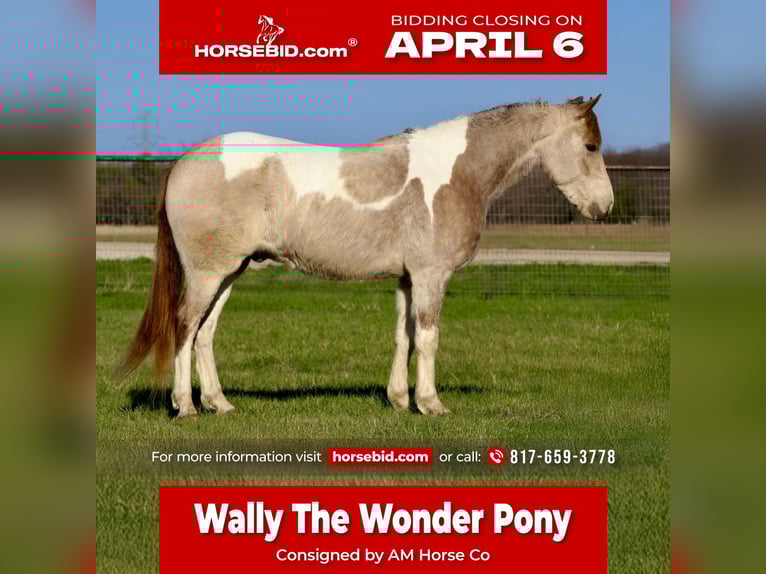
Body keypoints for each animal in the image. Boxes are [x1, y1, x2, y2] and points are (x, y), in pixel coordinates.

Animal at [118, 96, 613, 418]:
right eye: (590, 146)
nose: (604, 207)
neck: (457, 173)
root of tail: (186, 161)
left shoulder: (408, 278)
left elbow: (403, 337)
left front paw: (398, 400)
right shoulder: (431, 276)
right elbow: (428, 338)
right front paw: (430, 404)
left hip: (228, 272)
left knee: (204, 334)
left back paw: (219, 403)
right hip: (206, 273)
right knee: (185, 327)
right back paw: (185, 407)